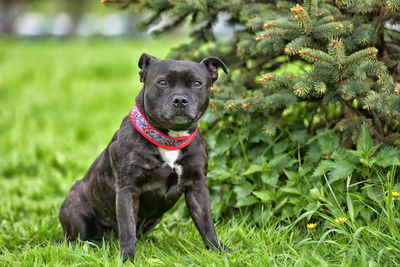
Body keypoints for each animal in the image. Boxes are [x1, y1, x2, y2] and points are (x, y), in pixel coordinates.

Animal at [58, 52, 228, 262]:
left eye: (197, 83)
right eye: (162, 82)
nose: (180, 100)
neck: (169, 139)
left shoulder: (197, 187)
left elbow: (206, 223)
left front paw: (219, 250)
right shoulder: (128, 191)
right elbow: (127, 229)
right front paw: (127, 259)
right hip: (75, 213)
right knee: (79, 239)